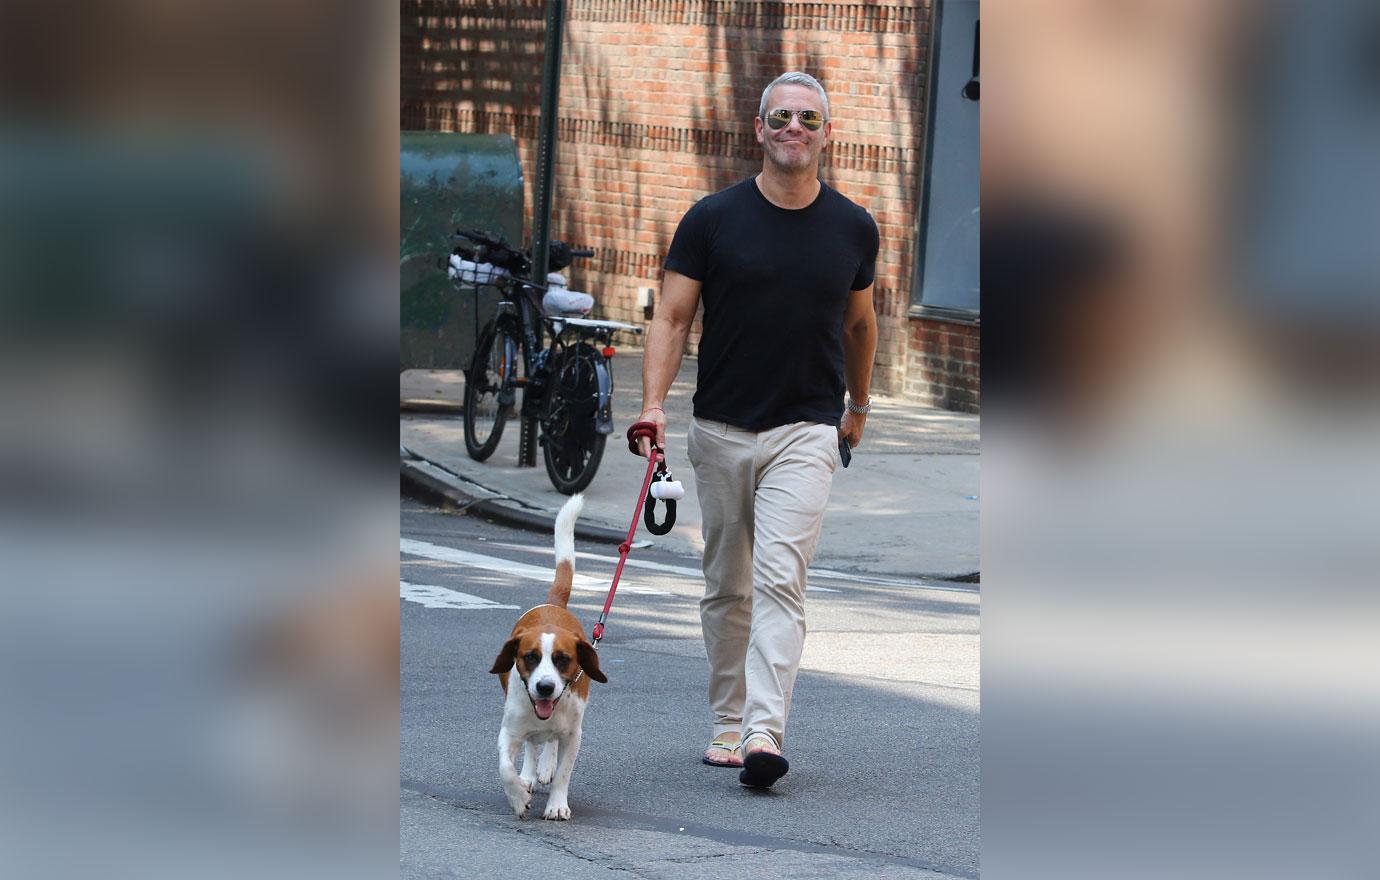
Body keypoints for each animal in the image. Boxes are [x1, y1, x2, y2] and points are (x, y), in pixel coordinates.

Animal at [494, 496, 607, 822]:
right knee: (533, 744)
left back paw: (545, 765)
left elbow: (563, 773)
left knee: (549, 743)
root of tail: (553, 605)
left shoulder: (573, 735)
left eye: (562, 658)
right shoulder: (509, 731)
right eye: (530, 657)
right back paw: (530, 774)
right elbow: (505, 768)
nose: (544, 687)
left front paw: (557, 804)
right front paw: (518, 795)